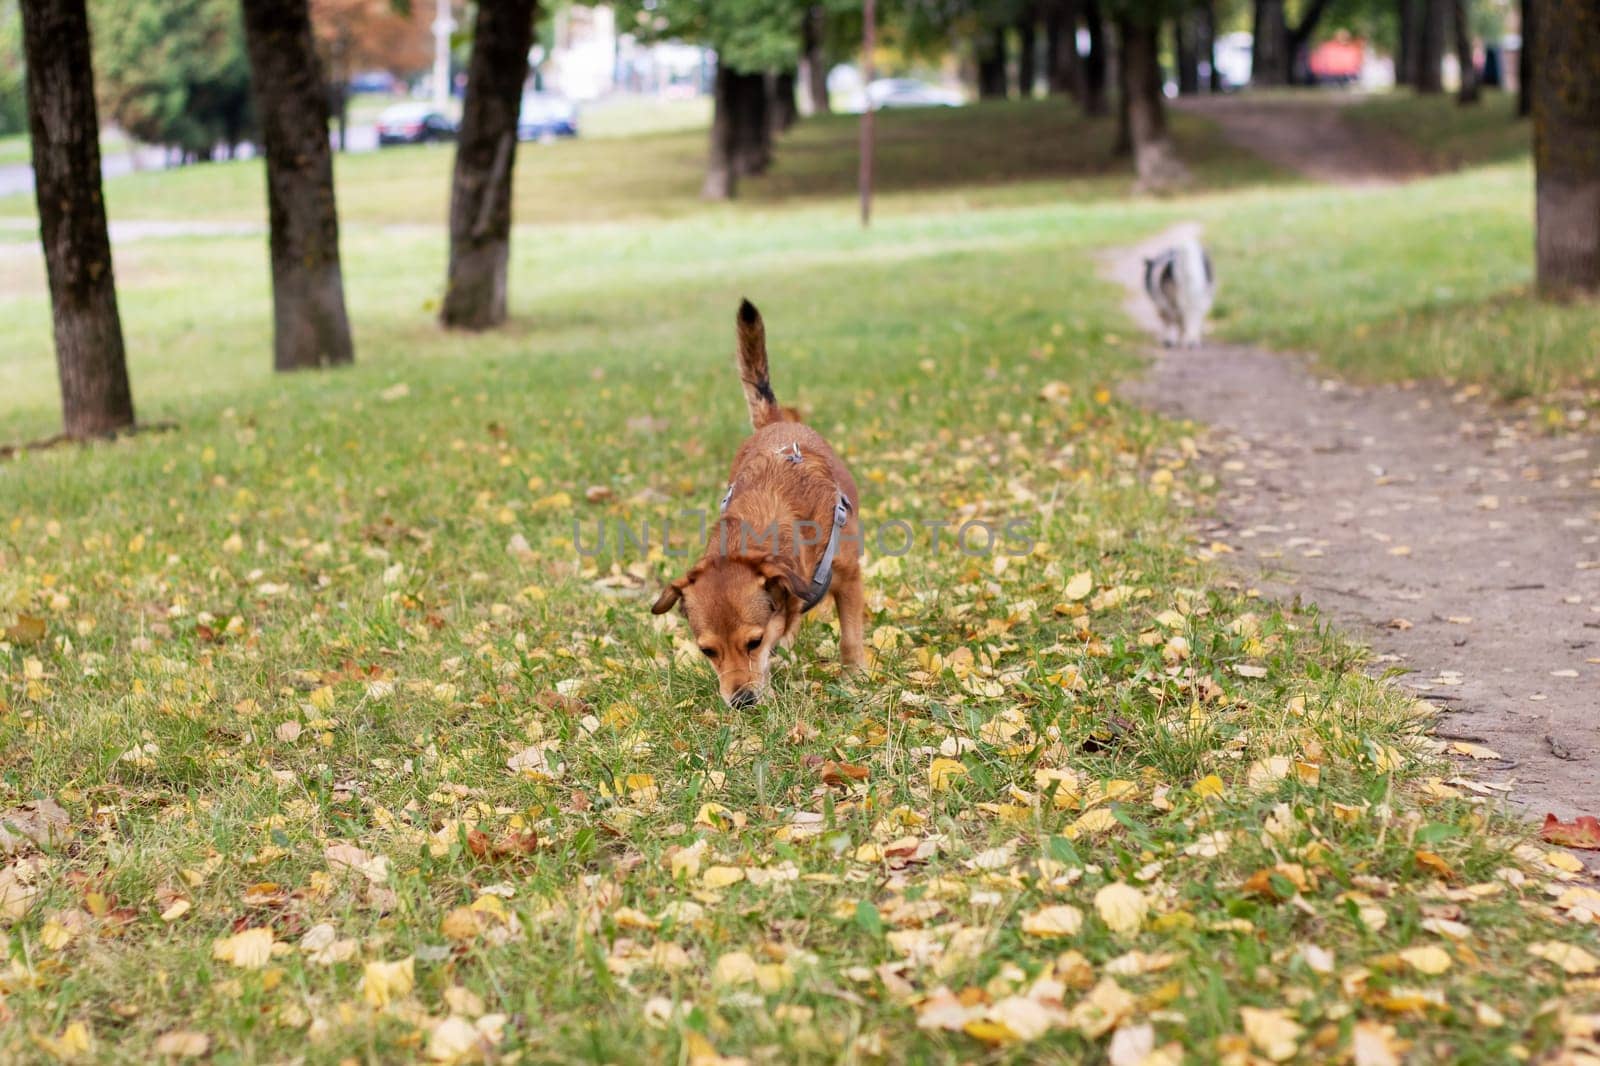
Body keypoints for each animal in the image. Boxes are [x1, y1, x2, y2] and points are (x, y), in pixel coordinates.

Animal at [649, 299, 864, 704]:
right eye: (707, 651)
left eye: (754, 641)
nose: (741, 701)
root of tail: (775, 421)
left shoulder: (849, 577)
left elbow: (850, 638)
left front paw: (855, 677)